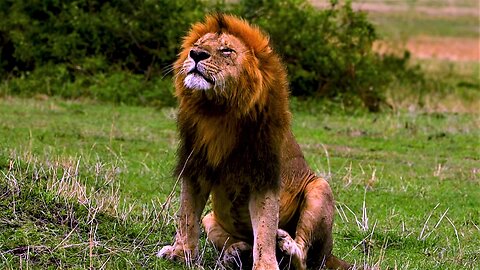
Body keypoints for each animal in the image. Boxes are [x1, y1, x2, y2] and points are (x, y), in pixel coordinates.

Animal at [159, 14, 350, 270]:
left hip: (320, 188)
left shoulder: (264, 175)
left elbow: (265, 228)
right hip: (211, 217)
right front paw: (180, 253)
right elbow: (187, 215)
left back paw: (286, 245)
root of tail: (330, 255)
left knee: (302, 258)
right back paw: (236, 252)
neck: (219, 112)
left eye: (226, 50)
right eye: (197, 45)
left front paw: (266, 265)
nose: (196, 54)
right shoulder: (195, 166)